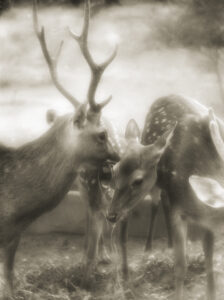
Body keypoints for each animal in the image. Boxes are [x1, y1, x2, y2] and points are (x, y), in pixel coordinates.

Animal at [107, 94, 224, 300]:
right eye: (113, 171)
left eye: (137, 180)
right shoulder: (179, 205)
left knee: (160, 202)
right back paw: (143, 254)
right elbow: (181, 267)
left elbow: (209, 259)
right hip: (155, 185)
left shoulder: (206, 218)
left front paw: (211, 293)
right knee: (153, 205)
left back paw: (166, 244)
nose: (111, 215)